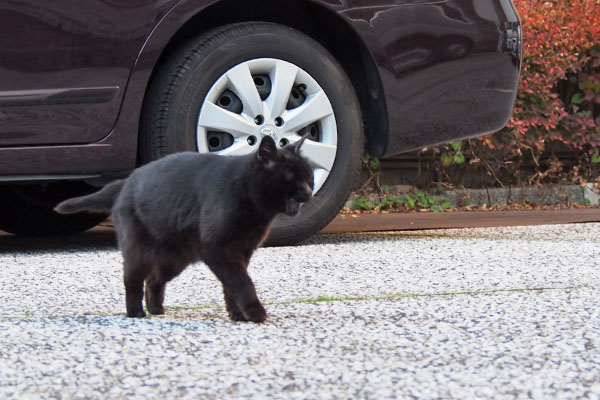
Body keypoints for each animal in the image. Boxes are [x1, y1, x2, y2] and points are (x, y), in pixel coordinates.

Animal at [55, 138, 314, 322]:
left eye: (309, 176)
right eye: (291, 177)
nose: (309, 192)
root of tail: (126, 181)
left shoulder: (242, 251)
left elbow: (231, 286)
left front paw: (237, 315)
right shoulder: (218, 249)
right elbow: (241, 282)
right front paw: (254, 312)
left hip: (175, 258)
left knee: (153, 280)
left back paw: (156, 309)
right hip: (138, 250)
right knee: (132, 280)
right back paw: (135, 312)